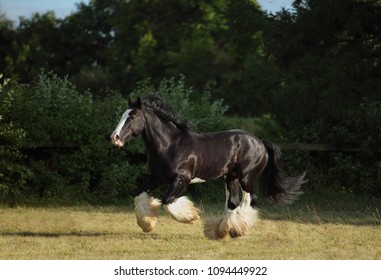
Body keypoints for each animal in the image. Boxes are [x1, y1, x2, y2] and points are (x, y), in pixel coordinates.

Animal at [110, 93, 306, 238]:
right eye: (122, 115)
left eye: (133, 116)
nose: (115, 138)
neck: (169, 145)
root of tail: (260, 142)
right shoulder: (157, 178)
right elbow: (139, 194)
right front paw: (147, 225)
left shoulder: (181, 180)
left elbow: (167, 201)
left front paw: (191, 217)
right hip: (231, 178)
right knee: (232, 203)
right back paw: (220, 231)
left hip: (246, 178)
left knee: (249, 200)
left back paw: (236, 230)